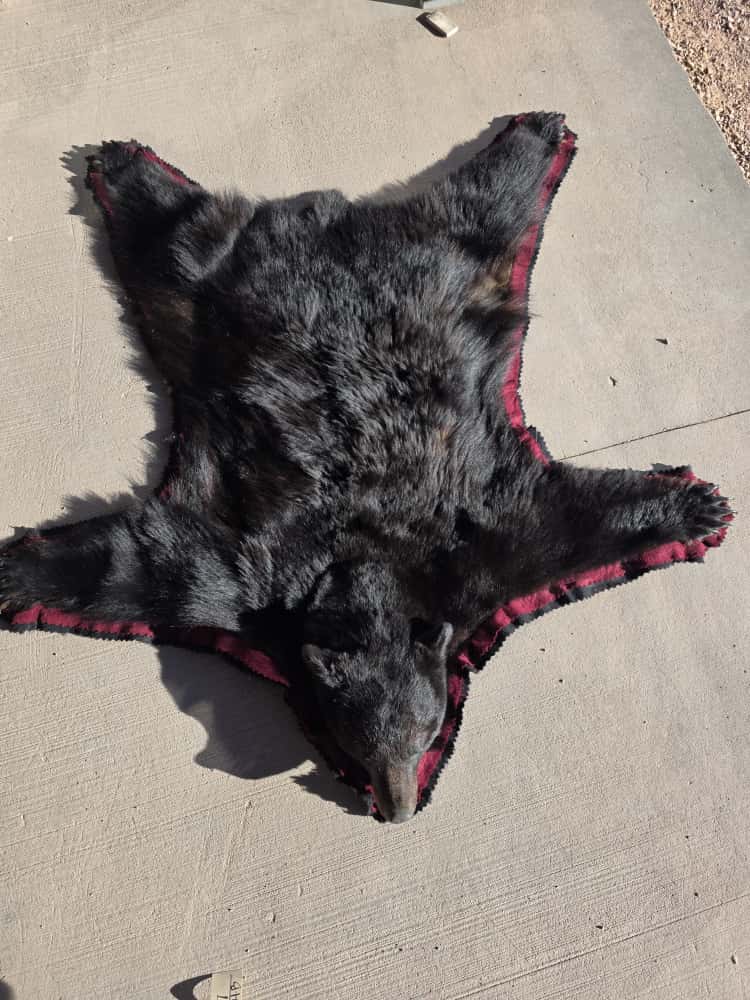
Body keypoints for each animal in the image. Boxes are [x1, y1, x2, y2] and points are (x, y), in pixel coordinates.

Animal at [0, 112, 730, 822]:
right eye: (355, 743)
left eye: (429, 734)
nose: (400, 810)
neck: (365, 566)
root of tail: (323, 222)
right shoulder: (238, 571)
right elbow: (137, 563)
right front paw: (18, 573)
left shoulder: (492, 539)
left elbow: (569, 522)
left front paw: (700, 505)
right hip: (206, 284)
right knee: (171, 233)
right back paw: (124, 164)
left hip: (462, 255)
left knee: (491, 200)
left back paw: (539, 134)